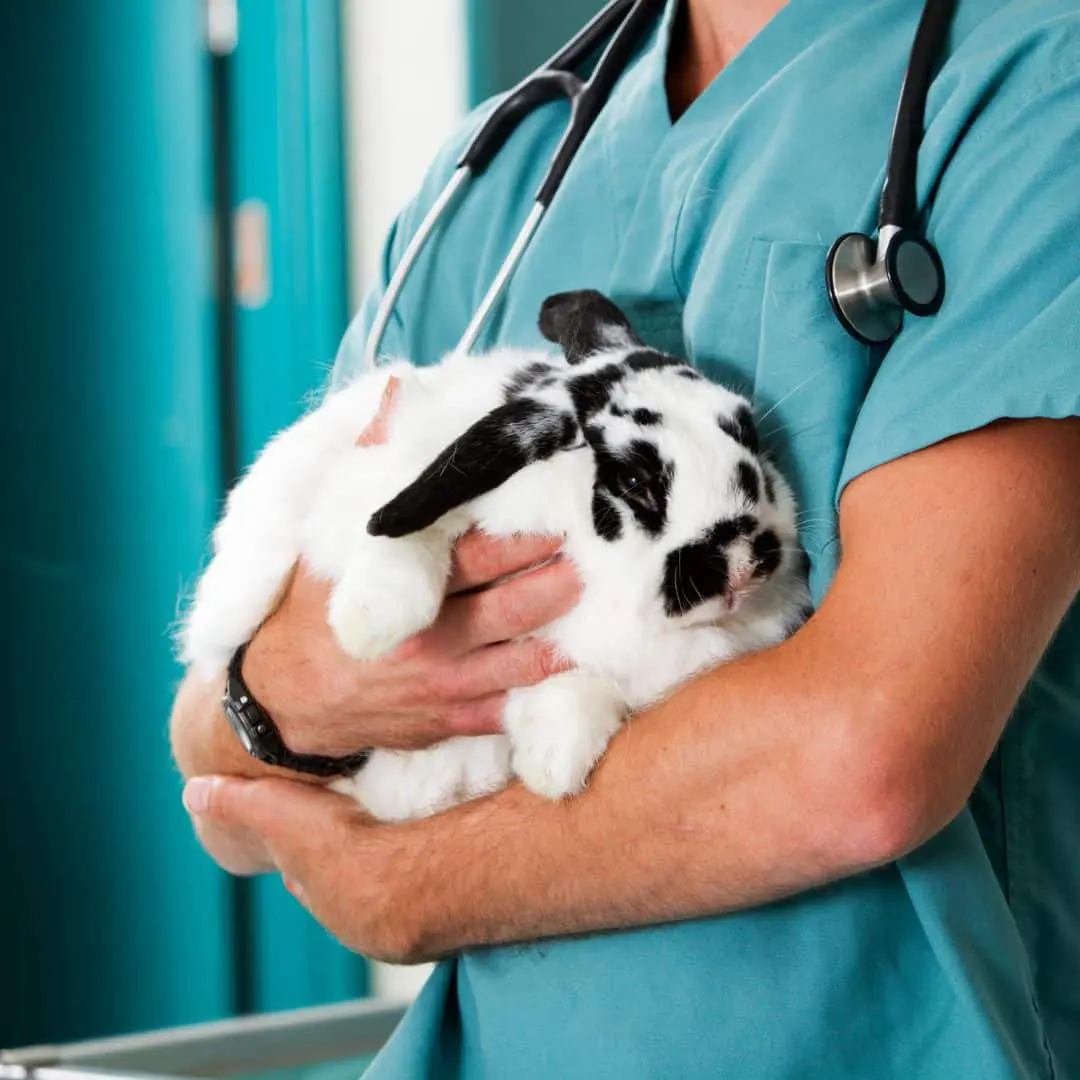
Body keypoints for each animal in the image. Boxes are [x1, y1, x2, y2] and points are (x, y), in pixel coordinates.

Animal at [180, 290, 810, 822]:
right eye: (634, 479)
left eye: (749, 434)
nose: (740, 563)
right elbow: (407, 534)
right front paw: (371, 627)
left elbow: (576, 686)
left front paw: (553, 764)